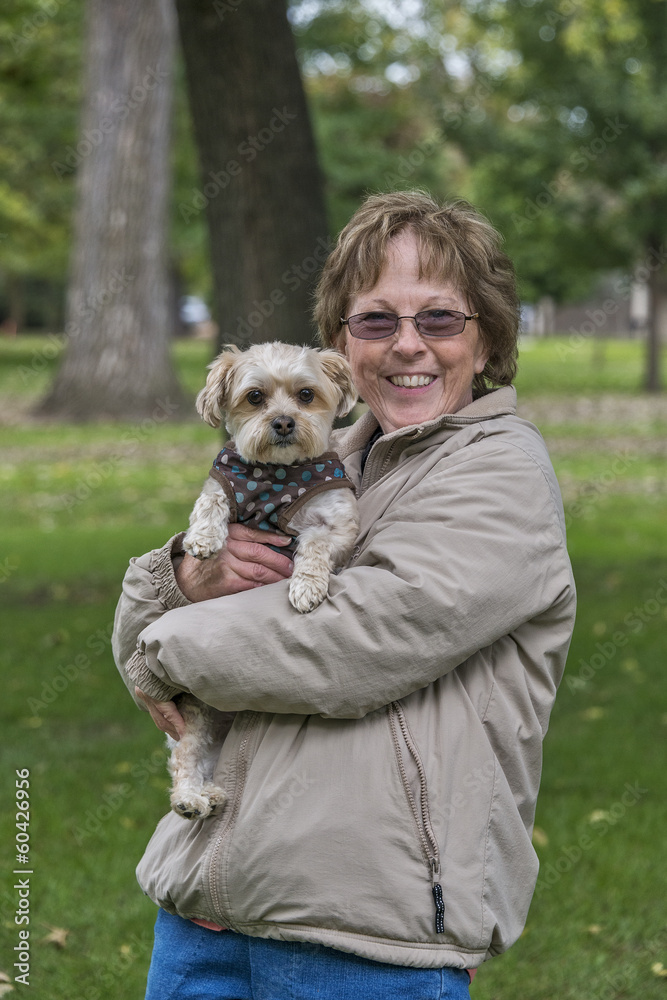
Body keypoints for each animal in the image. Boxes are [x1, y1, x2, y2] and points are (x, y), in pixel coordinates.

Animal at [167, 344, 360, 820]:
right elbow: (211, 501)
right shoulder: (223, 484)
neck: (277, 475)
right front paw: (203, 539)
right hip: (195, 711)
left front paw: (306, 586)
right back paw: (192, 798)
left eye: (306, 394)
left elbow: (315, 544)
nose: (284, 422)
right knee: (187, 754)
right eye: (255, 397)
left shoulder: (339, 526)